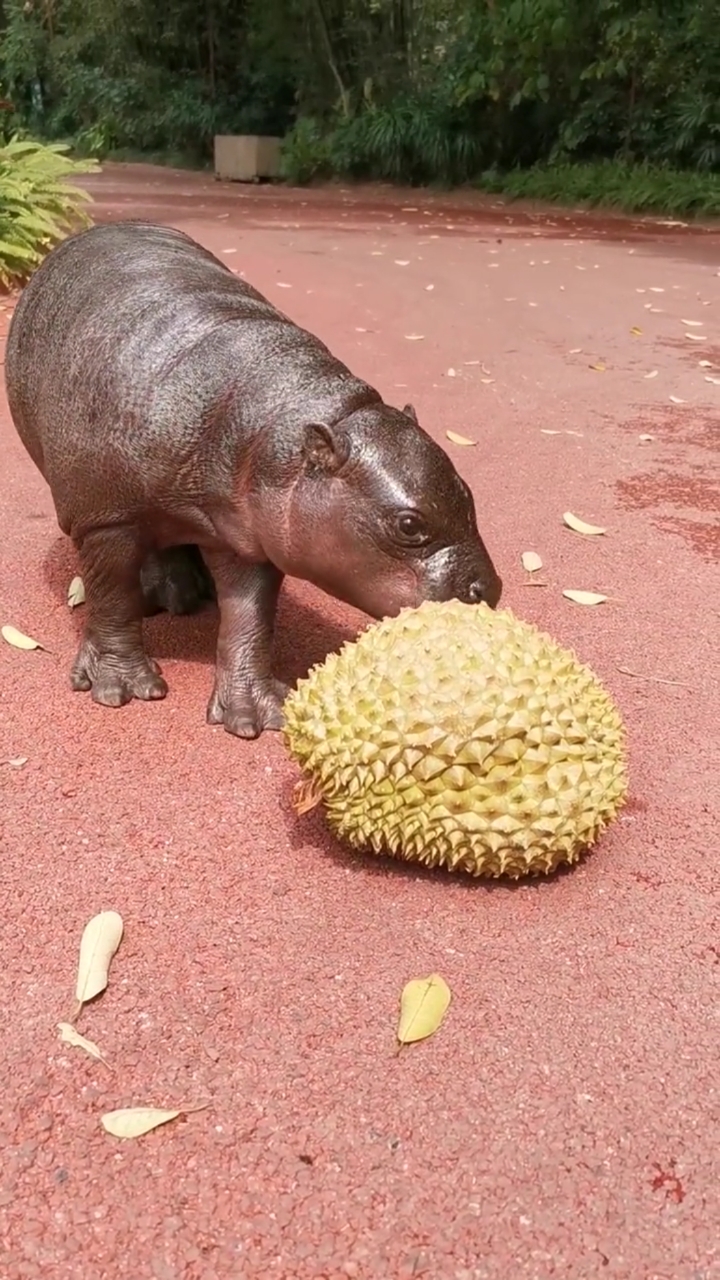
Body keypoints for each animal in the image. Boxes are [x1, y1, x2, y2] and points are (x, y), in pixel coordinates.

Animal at [4, 221, 499, 742]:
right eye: (408, 524)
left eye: (469, 494)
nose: (489, 591)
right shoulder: (105, 519)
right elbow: (112, 595)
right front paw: (121, 689)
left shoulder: (248, 534)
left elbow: (250, 617)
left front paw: (257, 716)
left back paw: (184, 594)